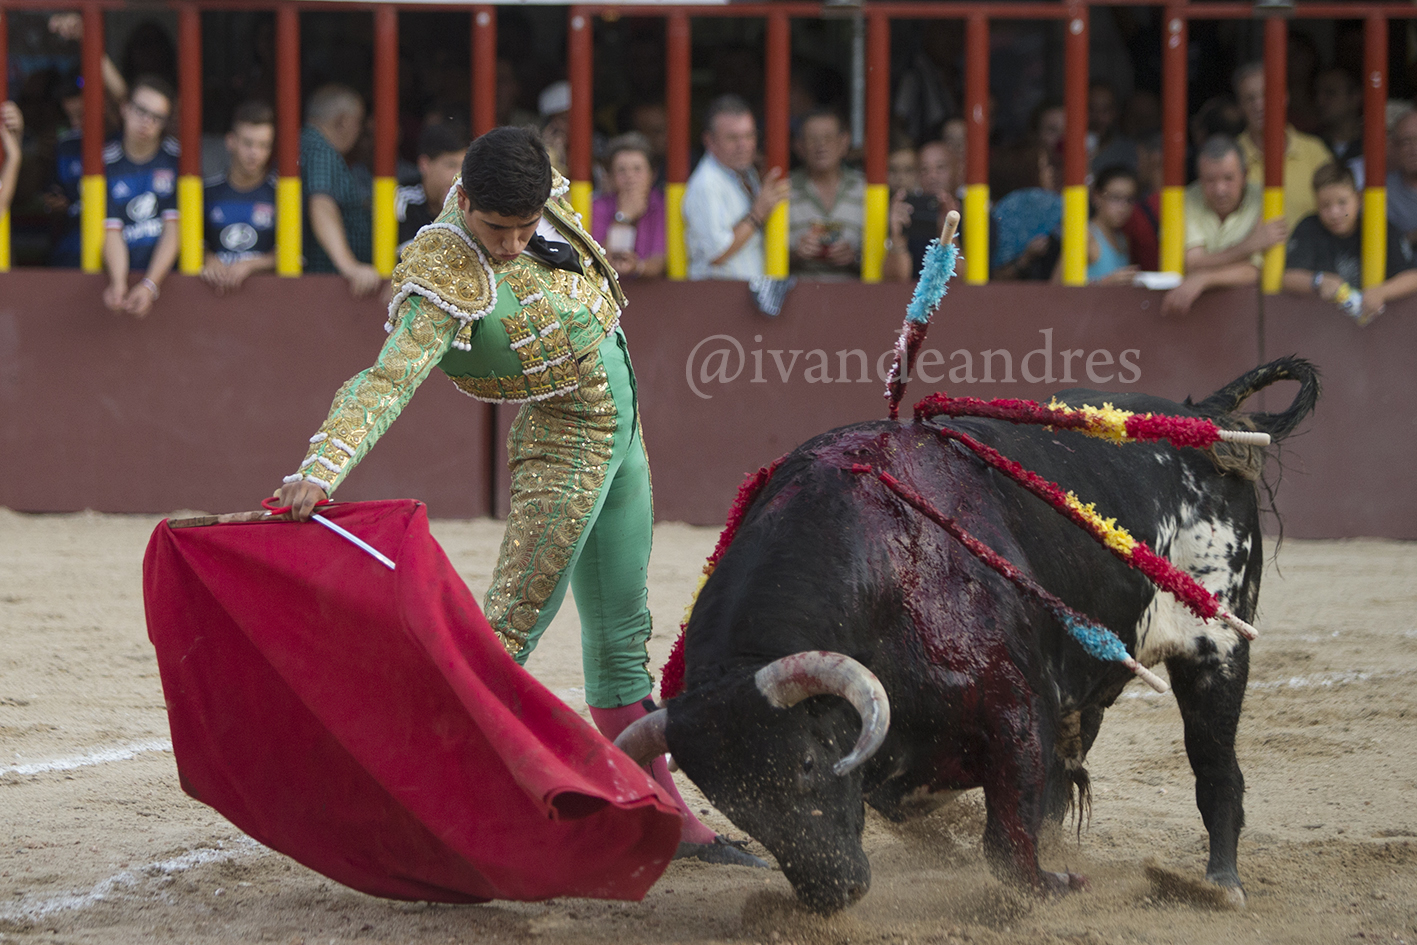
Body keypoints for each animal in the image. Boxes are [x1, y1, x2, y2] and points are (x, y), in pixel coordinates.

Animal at [616, 357, 1319, 914]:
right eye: (732, 805)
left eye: (809, 763)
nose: (833, 892)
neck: (882, 573)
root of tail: (1200, 417)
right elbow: (923, 802)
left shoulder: (1015, 709)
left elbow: (1007, 842)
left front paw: (1050, 883)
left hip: (1218, 645)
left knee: (1215, 765)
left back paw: (1218, 884)